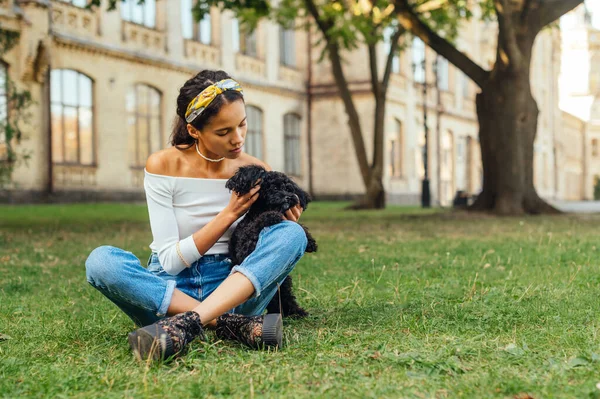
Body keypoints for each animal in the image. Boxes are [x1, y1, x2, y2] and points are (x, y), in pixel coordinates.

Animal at [226, 163, 318, 318]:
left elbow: (297, 224)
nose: (289, 197)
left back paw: (295, 312)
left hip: (284, 283)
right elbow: (259, 223)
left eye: (289, 189)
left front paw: (310, 241)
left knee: (285, 298)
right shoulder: (245, 246)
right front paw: (272, 215)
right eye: (274, 188)